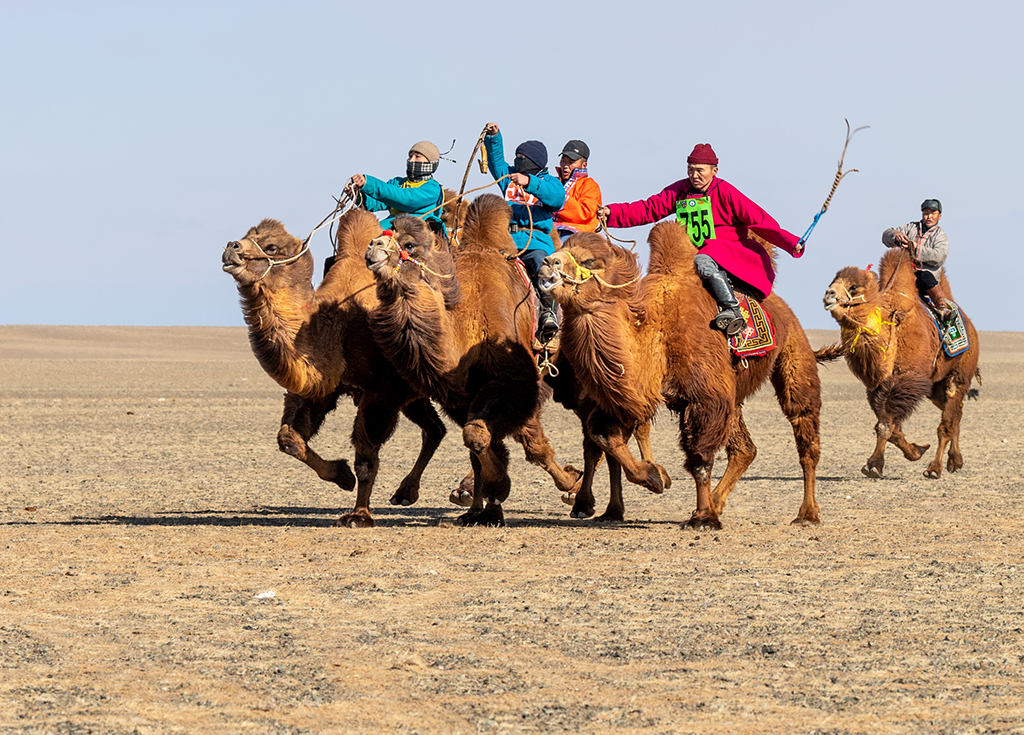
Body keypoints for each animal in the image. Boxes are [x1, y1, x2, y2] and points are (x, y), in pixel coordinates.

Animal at [220, 209, 448, 528]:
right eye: (246, 234)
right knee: (436, 429)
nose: (231, 246)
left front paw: (359, 516)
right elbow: (288, 438)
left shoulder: (381, 392)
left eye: (272, 246)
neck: (336, 327)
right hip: (416, 394)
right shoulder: (321, 387)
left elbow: (365, 458)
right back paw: (406, 492)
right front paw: (342, 475)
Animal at [364, 195, 581, 528]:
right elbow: (478, 442)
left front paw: (566, 481)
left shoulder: (514, 383)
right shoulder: (460, 394)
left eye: (410, 244)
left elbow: (514, 442)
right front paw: (482, 507)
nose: (373, 246)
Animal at [536, 224, 823, 528]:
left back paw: (807, 514)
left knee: (804, 430)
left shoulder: (705, 396)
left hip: (795, 352)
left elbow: (699, 458)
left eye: (589, 261)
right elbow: (604, 437)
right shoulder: (624, 399)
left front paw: (703, 517)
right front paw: (655, 477)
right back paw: (718, 501)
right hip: (735, 393)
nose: (547, 263)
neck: (654, 335)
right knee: (745, 448)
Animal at [815, 247, 983, 477]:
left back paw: (935, 468)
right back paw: (955, 461)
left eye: (853, 286)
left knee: (948, 420)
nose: (828, 294)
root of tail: (970, 325)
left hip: (960, 372)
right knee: (957, 412)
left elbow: (886, 424)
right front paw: (916, 451)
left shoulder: (907, 380)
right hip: (935, 387)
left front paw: (874, 465)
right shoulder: (878, 386)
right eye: (834, 281)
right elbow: (888, 426)